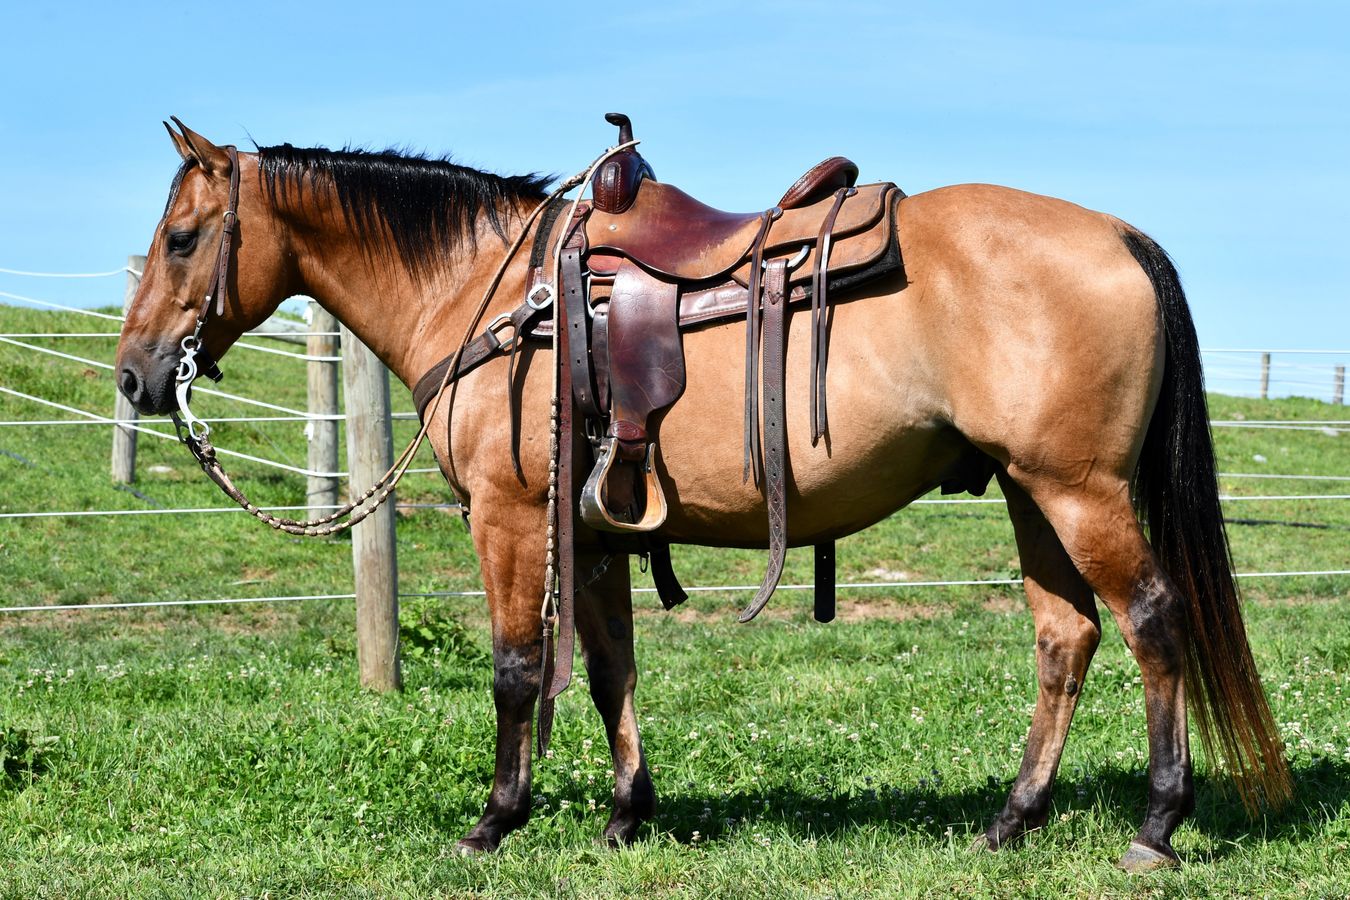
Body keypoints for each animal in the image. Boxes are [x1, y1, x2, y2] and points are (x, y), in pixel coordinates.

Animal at [115, 119, 1291, 872]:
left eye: (182, 239)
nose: (134, 377)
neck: (488, 293)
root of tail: (1119, 235)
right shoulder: (590, 531)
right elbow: (606, 673)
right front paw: (626, 818)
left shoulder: (509, 518)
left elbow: (515, 671)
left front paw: (495, 822)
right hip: (1029, 493)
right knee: (1066, 637)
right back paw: (1013, 819)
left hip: (1079, 491)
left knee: (1153, 622)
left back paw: (1157, 824)